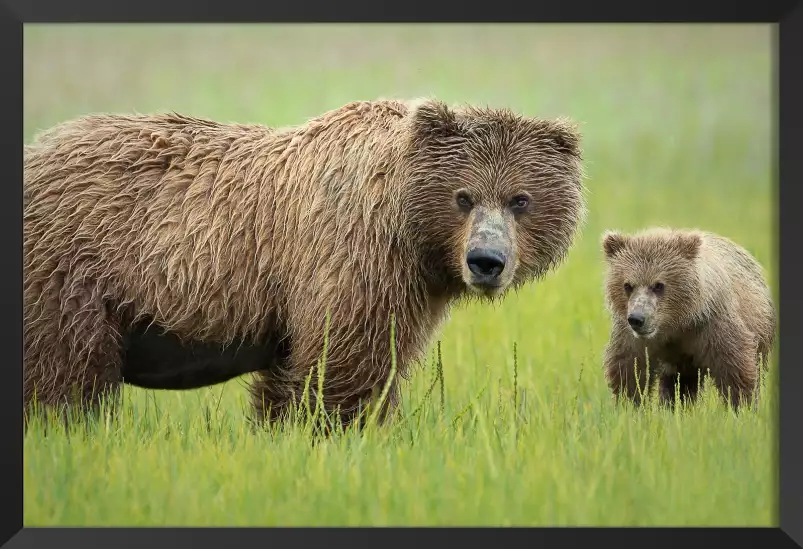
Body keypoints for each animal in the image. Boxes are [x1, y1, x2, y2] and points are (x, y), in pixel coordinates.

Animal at [23, 100, 584, 430]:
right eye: (463, 196)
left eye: (520, 199)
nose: (486, 260)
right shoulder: (352, 255)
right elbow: (342, 364)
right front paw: (336, 429)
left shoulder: (411, 287)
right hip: (70, 267)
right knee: (67, 372)